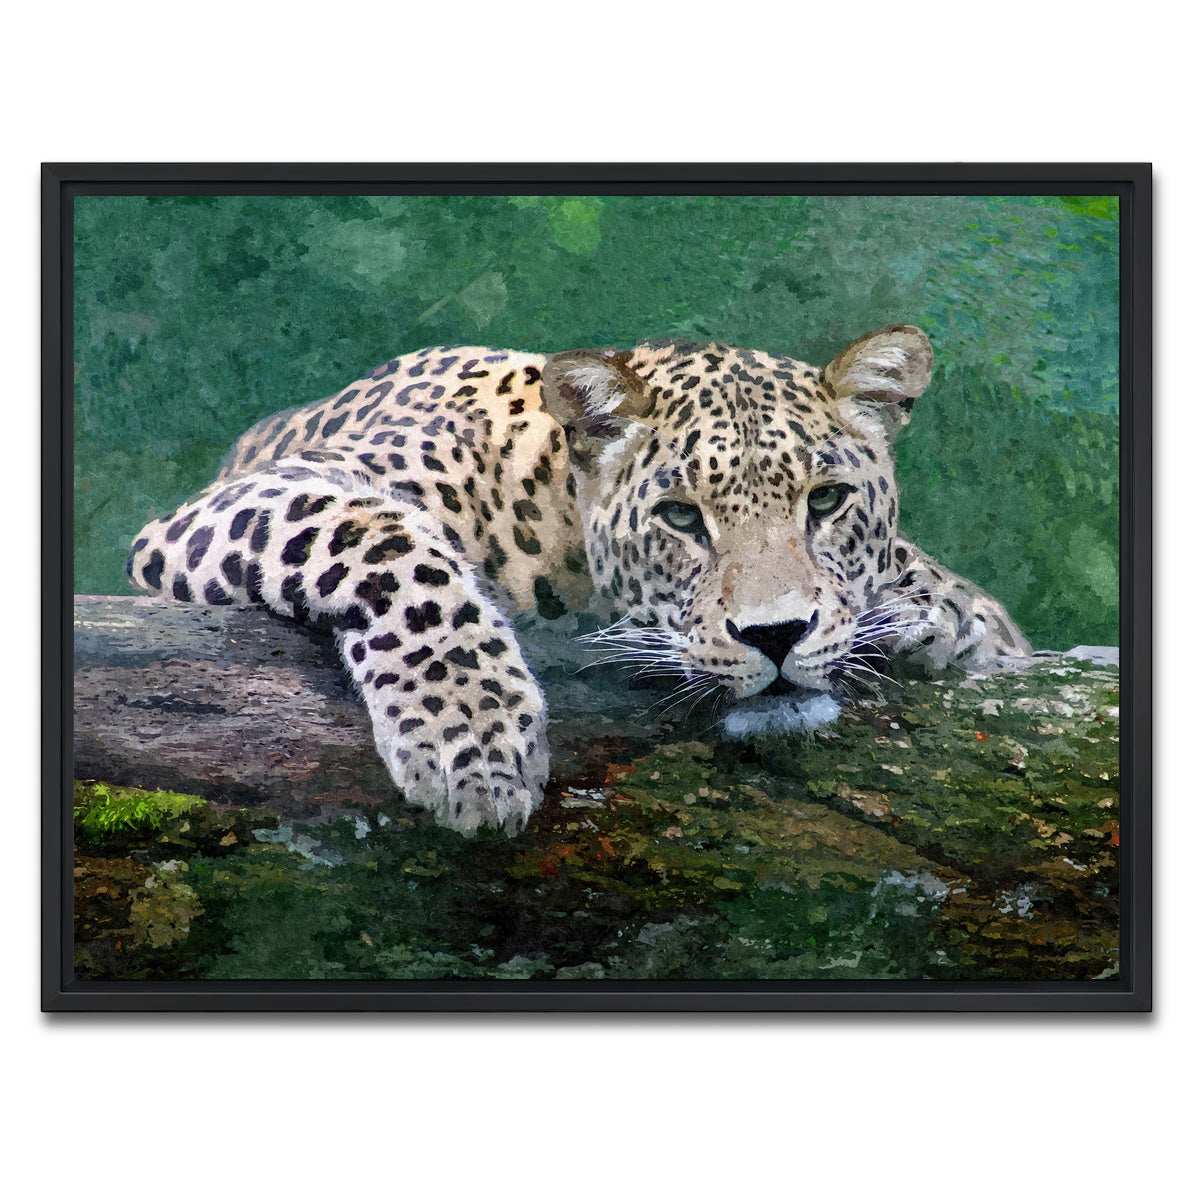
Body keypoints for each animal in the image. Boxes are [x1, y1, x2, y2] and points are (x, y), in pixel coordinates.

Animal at [127, 324, 1030, 835]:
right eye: (680, 517)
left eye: (829, 501)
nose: (776, 636)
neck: (552, 514)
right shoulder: (253, 498)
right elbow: (392, 548)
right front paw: (474, 743)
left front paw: (940, 613)